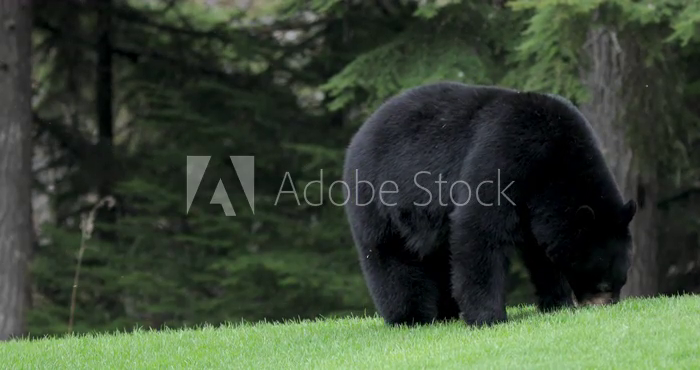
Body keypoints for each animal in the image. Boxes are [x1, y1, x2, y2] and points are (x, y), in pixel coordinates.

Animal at [342, 81, 636, 326]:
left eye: (621, 280)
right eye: (602, 282)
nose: (607, 304)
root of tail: (359, 133)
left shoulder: (537, 205)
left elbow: (540, 251)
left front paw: (558, 303)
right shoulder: (504, 154)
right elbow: (480, 230)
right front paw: (488, 317)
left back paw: (445, 312)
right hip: (381, 195)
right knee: (390, 254)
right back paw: (410, 316)